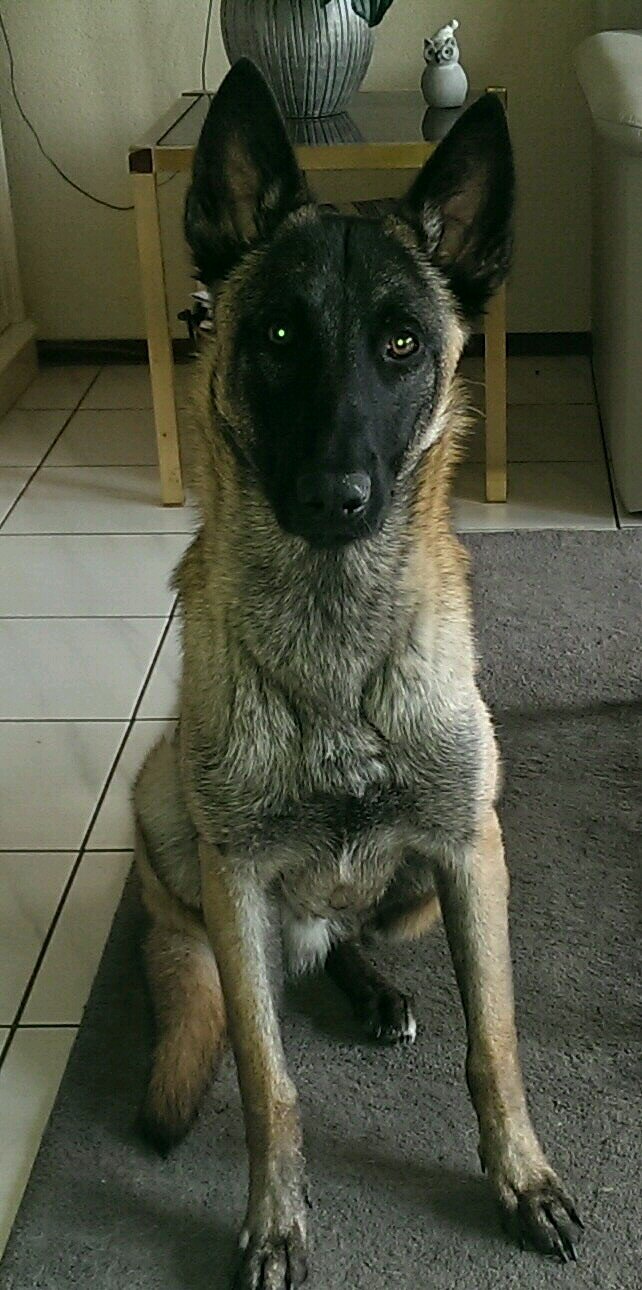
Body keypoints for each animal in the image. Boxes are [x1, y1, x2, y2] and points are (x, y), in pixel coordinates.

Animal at [134, 58, 582, 1290]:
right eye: (281, 330)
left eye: (402, 346)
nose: (337, 498)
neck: (335, 647)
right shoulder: (237, 877)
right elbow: (267, 1081)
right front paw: (275, 1221)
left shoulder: (472, 853)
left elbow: (496, 1042)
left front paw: (521, 1177)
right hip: (166, 814)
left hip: (456, 855)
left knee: (355, 934)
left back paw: (376, 985)